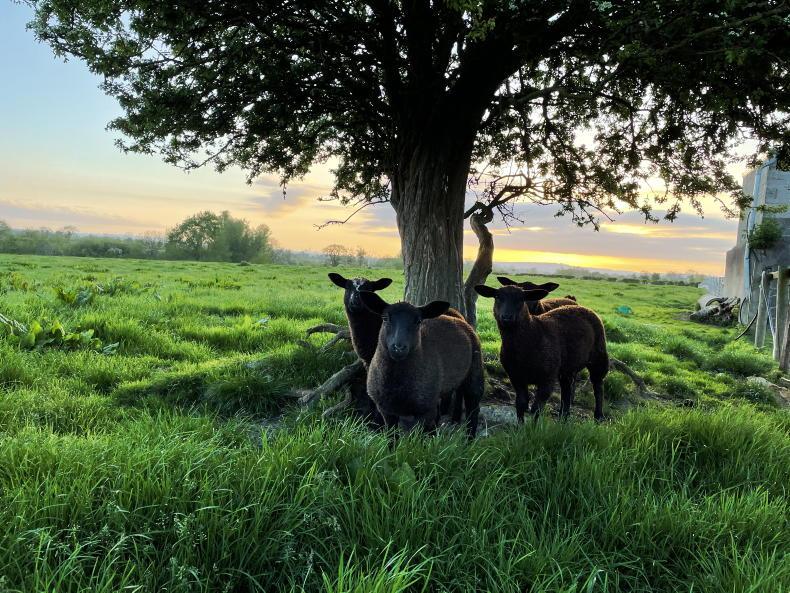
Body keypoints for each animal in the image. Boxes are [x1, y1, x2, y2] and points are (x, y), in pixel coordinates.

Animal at [358, 291, 484, 438]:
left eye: (418, 321)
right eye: (385, 318)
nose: (399, 347)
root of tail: (458, 319)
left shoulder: (425, 410)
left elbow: (418, 439)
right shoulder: (386, 411)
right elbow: (391, 437)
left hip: (475, 372)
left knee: (473, 409)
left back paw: (469, 439)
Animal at [474, 284, 608, 422]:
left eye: (521, 299)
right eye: (497, 297)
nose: (506, 317)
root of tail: (582, 307)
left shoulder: (547, 378)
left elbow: (536, 408)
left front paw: (533, 427)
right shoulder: (516, 377)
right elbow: (520, 404)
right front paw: (520, 426)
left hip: (599, 355)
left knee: (598, 384)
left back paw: (598, 416)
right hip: (567, 366)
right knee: (566, 388)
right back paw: (563, 417)